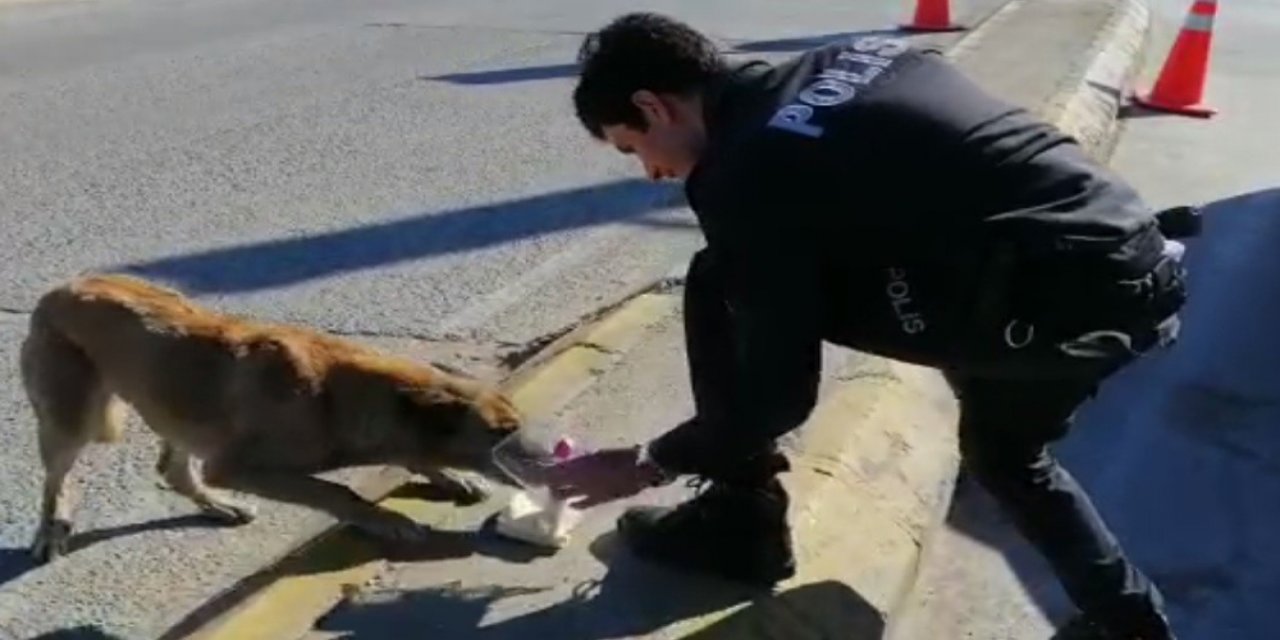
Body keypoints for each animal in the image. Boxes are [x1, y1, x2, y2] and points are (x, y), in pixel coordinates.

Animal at [21, 272, 519, 563]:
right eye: (502, 434)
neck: (335, 393)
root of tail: (62, 288)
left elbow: (411, 455)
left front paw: (448, 475)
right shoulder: (235, 466)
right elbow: (334, 490)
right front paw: (386, 519)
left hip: (175, 404)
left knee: (174, 469)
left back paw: (218, 506)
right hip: (72, 419)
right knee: (55, 480)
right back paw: (51, 531)